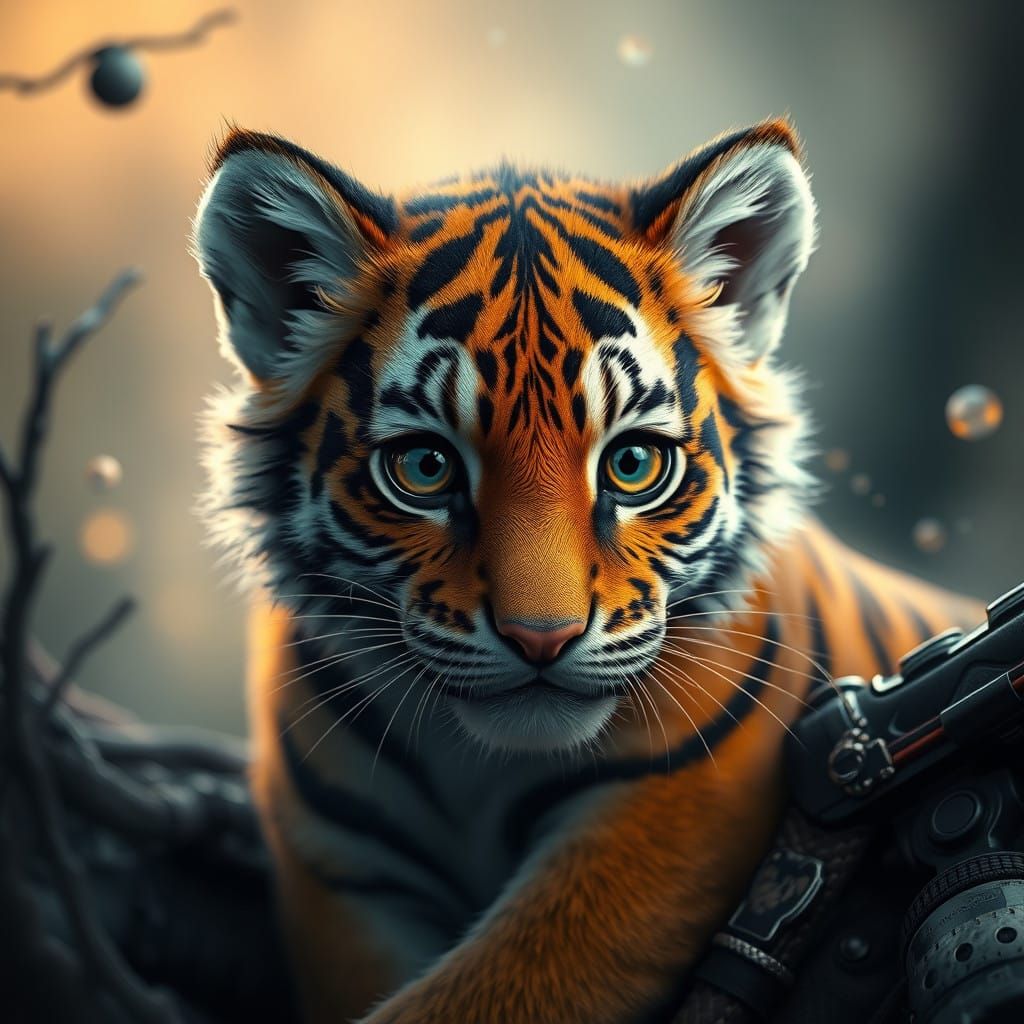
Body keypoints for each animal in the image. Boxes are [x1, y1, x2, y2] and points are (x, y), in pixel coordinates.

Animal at [192, 118, 982, 1024]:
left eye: (633, 464)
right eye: (425, 467)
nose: (543, 638)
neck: (477, 769)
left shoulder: (668, 822)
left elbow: (480, 996)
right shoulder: (344, 877)